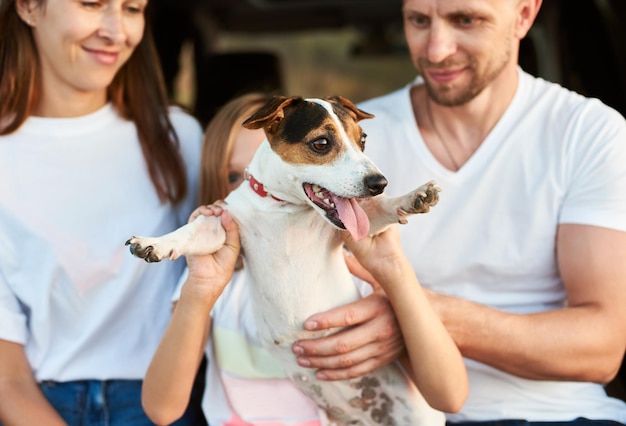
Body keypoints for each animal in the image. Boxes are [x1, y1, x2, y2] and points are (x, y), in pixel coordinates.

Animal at [124, 95, 442, 424]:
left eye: (362, 140)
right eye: (321, 143)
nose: (379, 183)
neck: (284, 210)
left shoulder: (351, 231)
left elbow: (381, 209)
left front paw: (412, 197)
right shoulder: (223, 228)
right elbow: (191, 231)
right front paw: (155, 243)